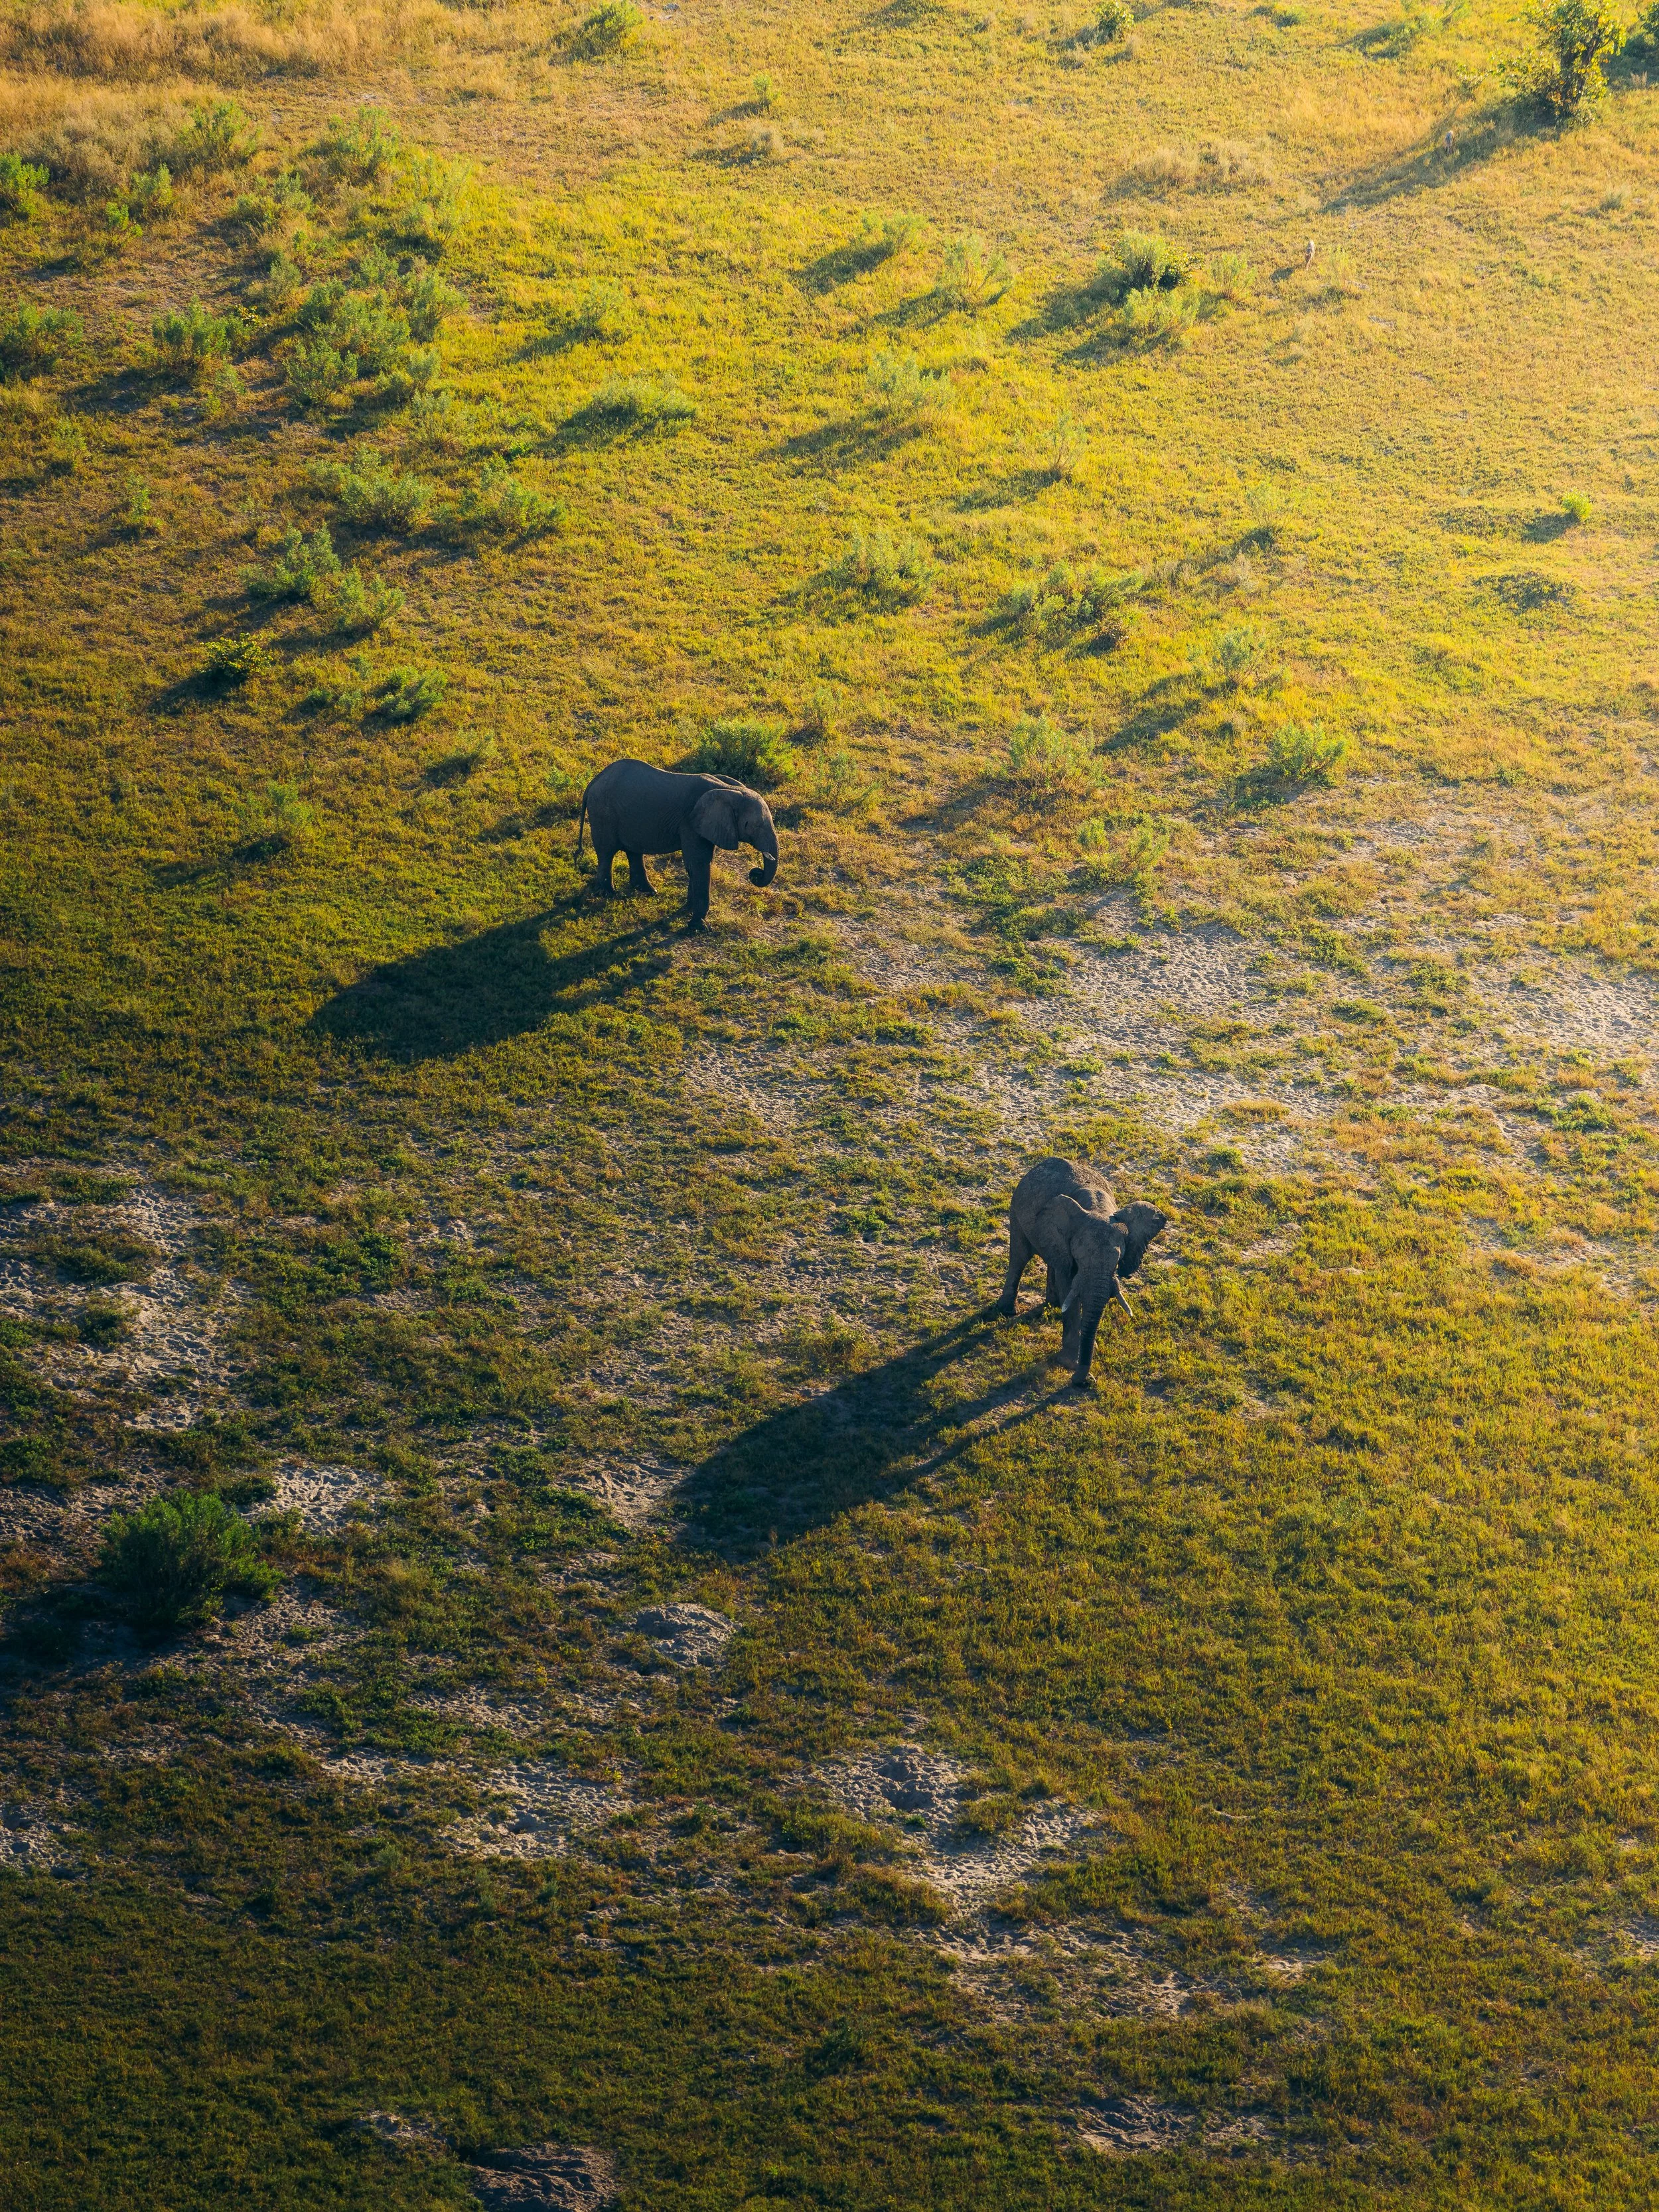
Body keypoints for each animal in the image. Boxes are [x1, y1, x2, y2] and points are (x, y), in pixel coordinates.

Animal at [575, 758, 779, 931]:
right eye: (753, 826)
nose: (755, 873)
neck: (728, 789)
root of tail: (594, 781)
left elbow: (699, 864)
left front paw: (688, 910)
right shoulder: (690, 823)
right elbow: (698, 863)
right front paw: (699, 928)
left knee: (633, 851)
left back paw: (648, 891)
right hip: (603, 813)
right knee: (607, 852)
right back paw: (608, 894)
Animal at [996, 1157, 1168, 1390]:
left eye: (1117, 1264)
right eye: (1080, 1258)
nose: (1083, 1381)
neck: (1098, 1209)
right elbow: (1069, 1284)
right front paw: (1070, 1362)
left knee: (1054, 1261)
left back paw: (1053, 1304)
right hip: (1017, 1208)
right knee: (1020, 1256)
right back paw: (1008, 1311)